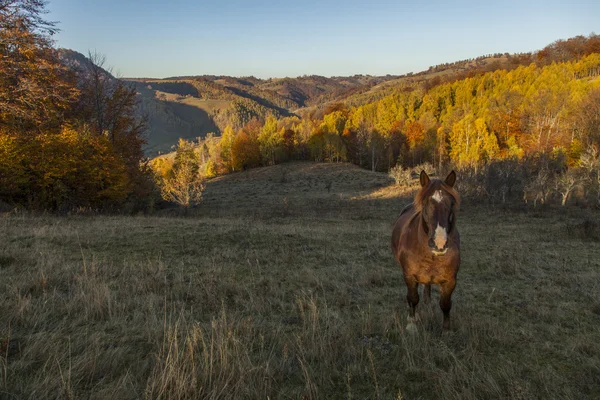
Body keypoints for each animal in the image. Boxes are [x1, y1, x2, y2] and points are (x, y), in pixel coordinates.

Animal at [392, 170, 462, 330]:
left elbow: (445, 304)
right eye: (425, 203)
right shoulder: (409, 276)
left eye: (452, 203)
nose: (439, 243)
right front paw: (411, 325)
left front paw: (446, 329)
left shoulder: (450, 280)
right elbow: (412, 299)